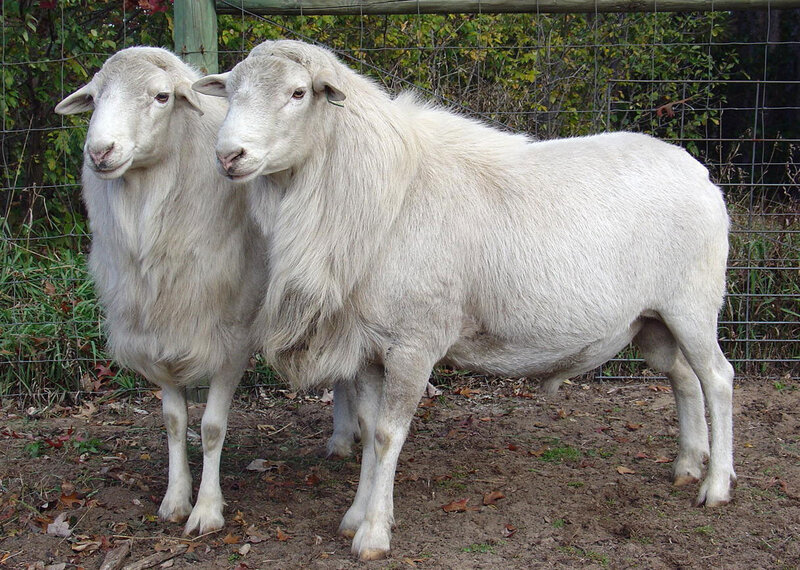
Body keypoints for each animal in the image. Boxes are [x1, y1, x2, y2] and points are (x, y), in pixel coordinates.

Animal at [54, 47, 267, 536]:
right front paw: (175, 499)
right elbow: (173, 422)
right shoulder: (159, 330)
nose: (100, 151)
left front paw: (207, 509)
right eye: (94, 97)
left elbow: (211, 427)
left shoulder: (232, 338)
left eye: (162, 96)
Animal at [193, 39, 736, 560]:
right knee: (683, 378)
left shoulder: (414, 343)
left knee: (718, 379)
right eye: (232, 91)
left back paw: (715, 487)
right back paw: (688, 465)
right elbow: (368, 429)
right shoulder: (368, 347)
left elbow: (388, 435)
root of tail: (699, 174)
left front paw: (373, 533)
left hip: (693, 305)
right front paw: (356, 514)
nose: (227, 156)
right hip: (653, 320)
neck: (378, 194)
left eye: (298, 93)